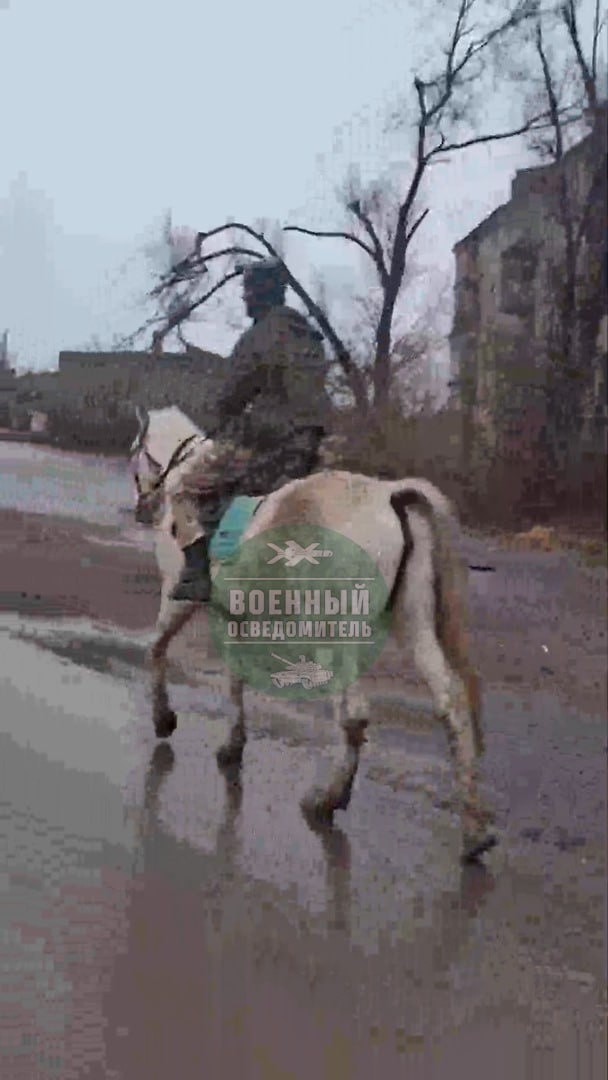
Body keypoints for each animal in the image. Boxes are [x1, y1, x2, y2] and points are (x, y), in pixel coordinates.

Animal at [129, 404, 496, 862]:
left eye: (134, 450)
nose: (140, 507)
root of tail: (392, 496)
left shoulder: (178, 599)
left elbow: (157, 647)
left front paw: (164, 718)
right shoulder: (234, 614)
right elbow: (234, 678)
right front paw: (233, 746)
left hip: (334, 634)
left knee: (354, 715)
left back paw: (327, 799)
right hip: (412, 624)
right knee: (450, 703)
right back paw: (474, 831)